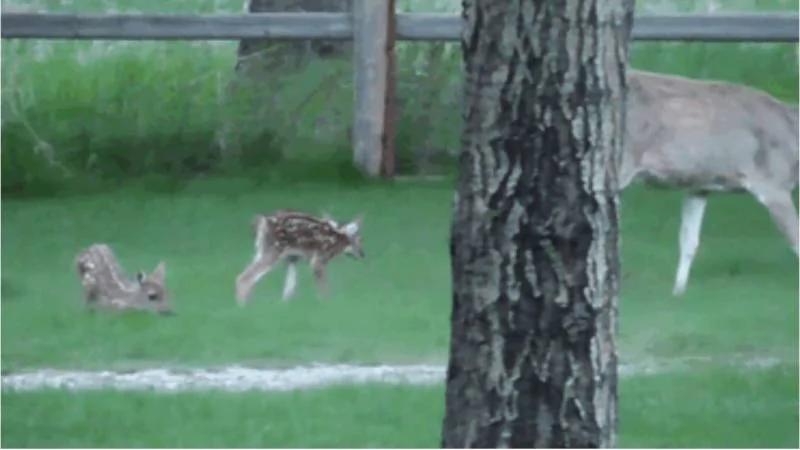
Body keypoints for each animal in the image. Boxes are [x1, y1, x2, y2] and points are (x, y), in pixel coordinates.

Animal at [235, 210, 365, 304]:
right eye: (359, 240)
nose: (363, 254)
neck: (338, 239)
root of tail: (262, 222)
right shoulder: (318, 259)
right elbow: (322, 286)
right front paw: (327, 303)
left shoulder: (292, 258)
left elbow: (289, 287)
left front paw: (284, 305)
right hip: (273, 252)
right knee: (244, 278)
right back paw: (243, 307)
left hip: (261, 251)